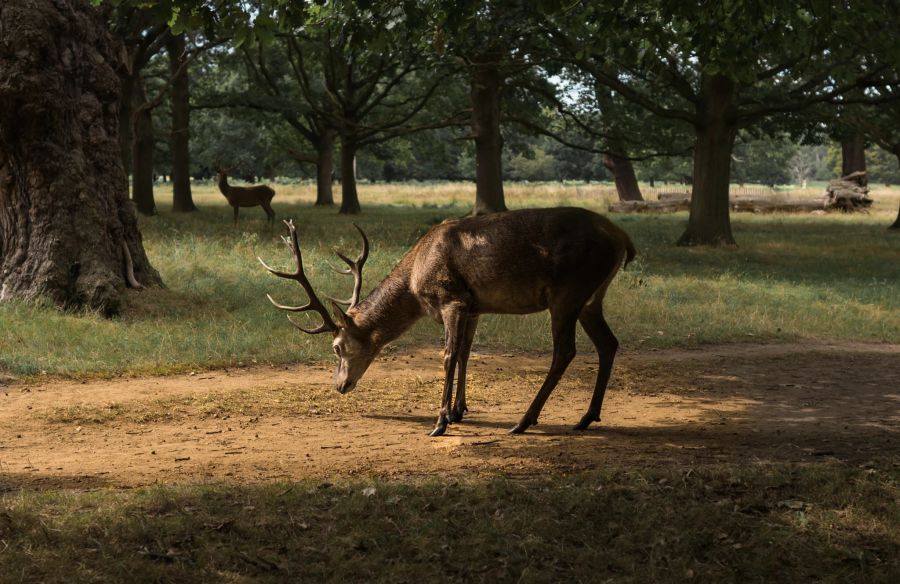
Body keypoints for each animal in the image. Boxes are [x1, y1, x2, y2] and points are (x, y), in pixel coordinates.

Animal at [259, 207, 636, 437]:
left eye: (337, 347)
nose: (339, 386)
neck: (415, 282)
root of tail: (622, 238)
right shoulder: (474, 307)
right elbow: (467, 353)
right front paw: (458, 411)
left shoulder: (451, 298)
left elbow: (448, 356)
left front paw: (440, 421)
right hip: (591, 298)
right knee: (609, 343)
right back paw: (586, 417)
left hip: (568, 292)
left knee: (565, 351)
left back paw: (524, 420)